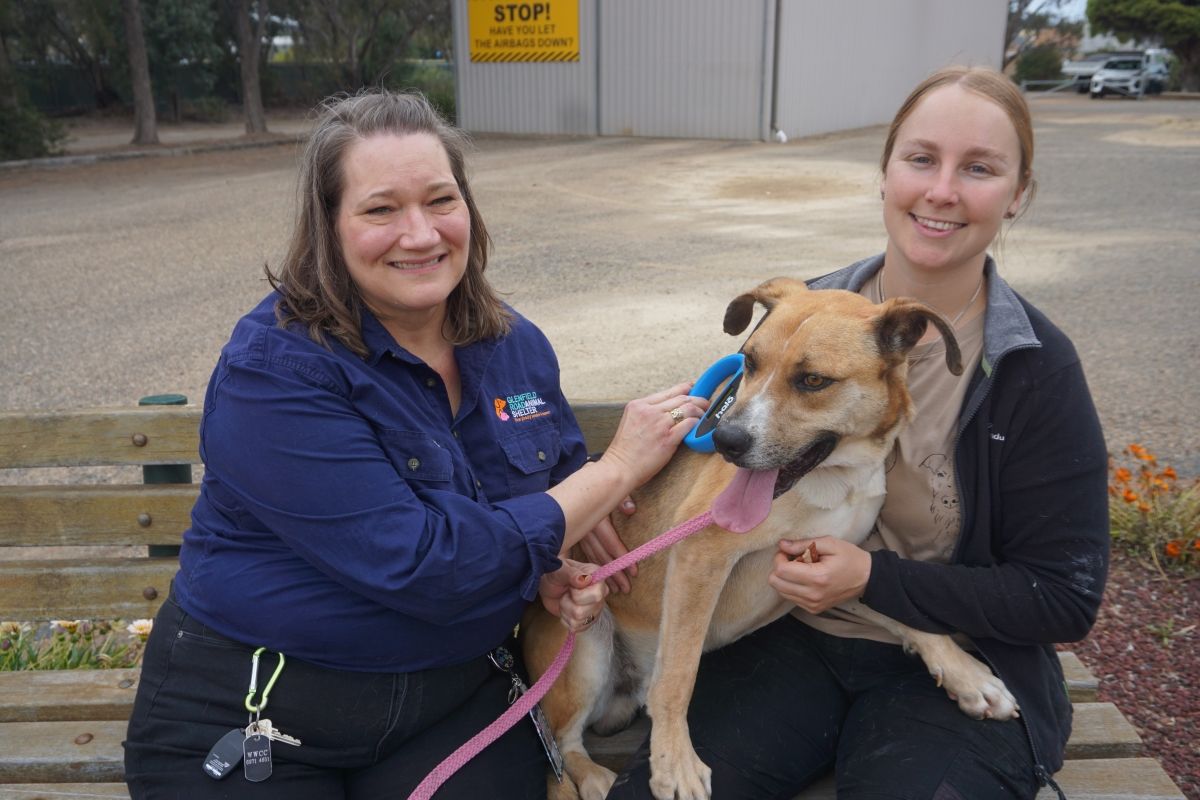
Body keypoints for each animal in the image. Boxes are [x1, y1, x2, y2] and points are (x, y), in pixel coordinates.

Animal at [520, 280, 1017, 800]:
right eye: (750, 362)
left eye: (813, 381)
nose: (724, 442)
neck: (834, 478)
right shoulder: (699, 555)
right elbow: (678, 674)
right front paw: (674, 763)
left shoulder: (824, 566)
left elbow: (902, 612)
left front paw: (966, 675)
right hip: (587, 638)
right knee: (558, 748)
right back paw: (594, 777)